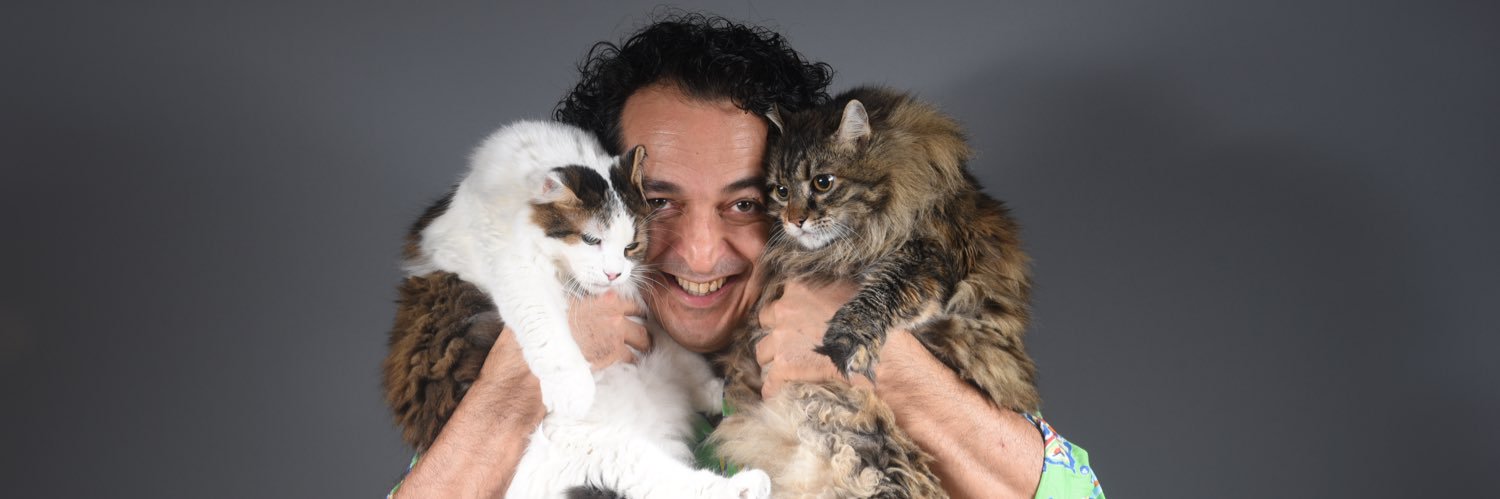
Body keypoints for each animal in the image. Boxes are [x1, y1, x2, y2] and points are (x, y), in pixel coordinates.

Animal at [383, 120, 771, 499]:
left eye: (631, 246)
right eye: (590, 240)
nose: (614, 273)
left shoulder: (644, 311)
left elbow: (681, 354)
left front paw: (715, 388)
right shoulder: (513, 263)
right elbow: (543, 324)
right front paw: (573, 388)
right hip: (590, 448)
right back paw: (746, 484)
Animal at [711, 87, 1039, 498]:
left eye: (823, 182)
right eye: (781, 191)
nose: (794, 220)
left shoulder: (930, 257)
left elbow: (883, 294)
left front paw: (847, 340)